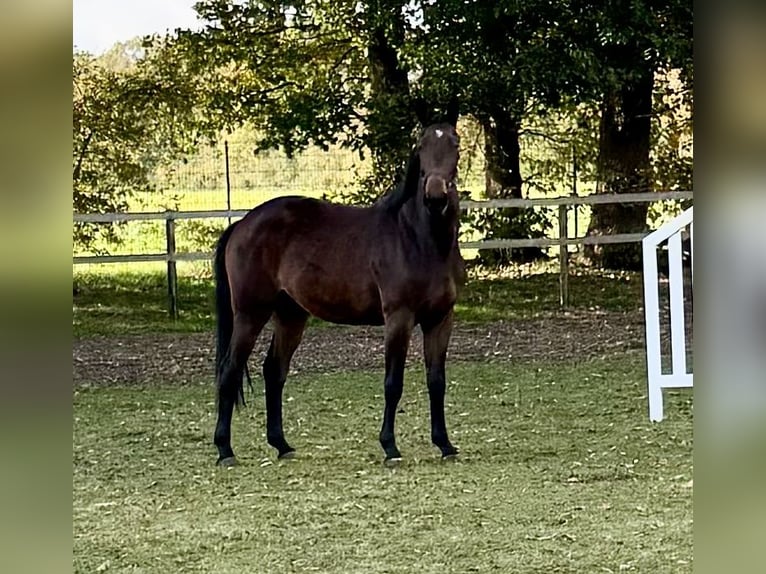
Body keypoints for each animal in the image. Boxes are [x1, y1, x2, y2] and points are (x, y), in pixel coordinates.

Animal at [214, 125, 468, 468]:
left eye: (455, 146)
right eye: (421, 146)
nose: (436, 194)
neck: (419, 239)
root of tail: (242, 223)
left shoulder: (441, 319)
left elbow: (437, 381)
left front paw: (444, 444)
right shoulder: (399, 318)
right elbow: (393, 383)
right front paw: (390, 447)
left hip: (290, 315)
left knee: (274, 372)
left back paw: (282, 444)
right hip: (250, 314)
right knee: (230, 371)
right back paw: (225, 450)